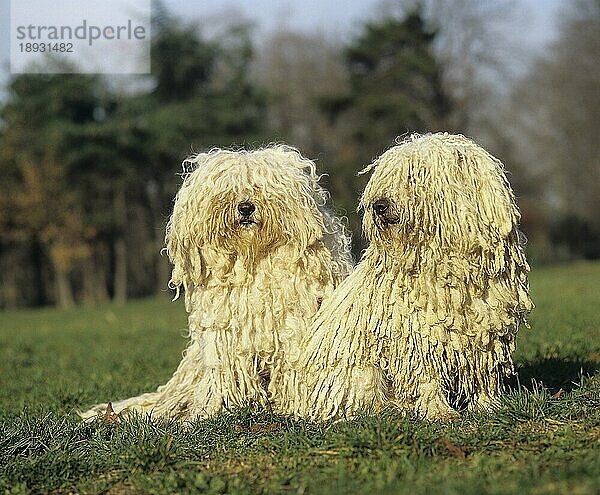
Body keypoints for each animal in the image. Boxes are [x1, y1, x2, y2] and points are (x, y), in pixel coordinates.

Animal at [79, 145, 352, 420]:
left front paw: (295, 408)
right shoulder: (224, 333)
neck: (251, 262)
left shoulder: (293, 326)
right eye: (227, 190)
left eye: (261, 187)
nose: (245, 207)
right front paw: (218, 410)